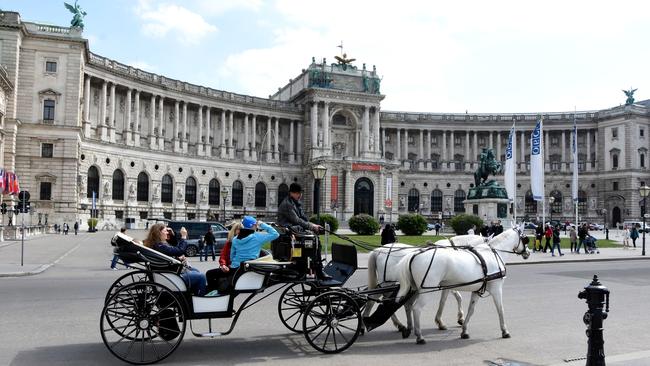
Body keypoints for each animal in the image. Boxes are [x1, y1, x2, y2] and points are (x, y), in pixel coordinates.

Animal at [364, 236, 492, 336]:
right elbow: (445, 301)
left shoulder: (448, 283)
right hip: (387, 282)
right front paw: (443, 321)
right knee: (379, 300)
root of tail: (379, 249)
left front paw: (459, 318)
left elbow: (456, 297)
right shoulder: (447, 285)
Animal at [394, 227, 528, 344]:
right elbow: (500, 309)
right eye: (525, 238)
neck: (492, 253)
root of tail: (415, 254)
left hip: (415, 289)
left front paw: (464, 329)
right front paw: (505, 331)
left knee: (408, 304)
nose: (527, 253)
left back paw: (408, 328)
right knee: (416, 309)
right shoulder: (496, 288)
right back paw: (419, 336)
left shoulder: (477, 290)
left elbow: (470, 310)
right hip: (425, 291)